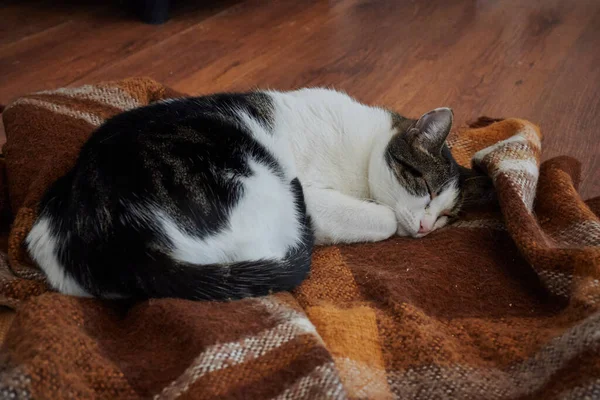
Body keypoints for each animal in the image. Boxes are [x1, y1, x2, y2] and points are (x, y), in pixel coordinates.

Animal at [25, 87, 480, 300]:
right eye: (425, 188)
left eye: (446, 216)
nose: (426, 227)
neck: (365, 147)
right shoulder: (311, 194)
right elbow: (382, 218)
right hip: (259, 182)